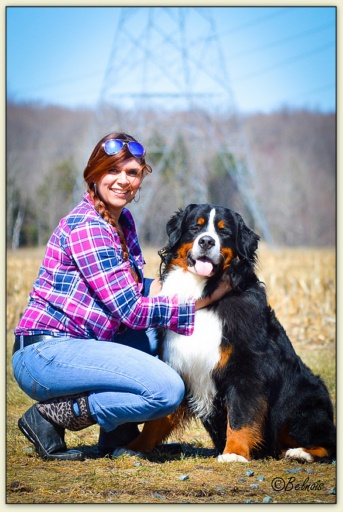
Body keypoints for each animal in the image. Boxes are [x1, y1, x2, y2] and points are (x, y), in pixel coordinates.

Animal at [125, 204, 336, 464]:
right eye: (196, 227)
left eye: (223, 232)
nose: (206, 241)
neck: (204, 295)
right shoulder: (177, 363)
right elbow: (156, 421)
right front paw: (134, 447)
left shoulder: (246, 368)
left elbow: (240, 415)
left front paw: (234, 453)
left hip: (303, 405)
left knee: (328, 441)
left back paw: (301, 452)